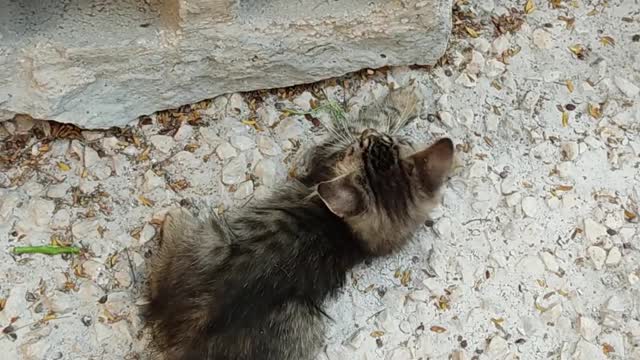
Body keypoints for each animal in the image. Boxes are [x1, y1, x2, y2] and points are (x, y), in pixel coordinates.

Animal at [145, 87, 456, 360]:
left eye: (365, 144)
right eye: (386, 142)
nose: (368, 137)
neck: (349, 234)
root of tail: (186, 333)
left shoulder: (327, 154)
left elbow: (372, 116)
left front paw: (402, 97)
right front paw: (406, 98)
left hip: (214, 242)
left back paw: (174, 217)